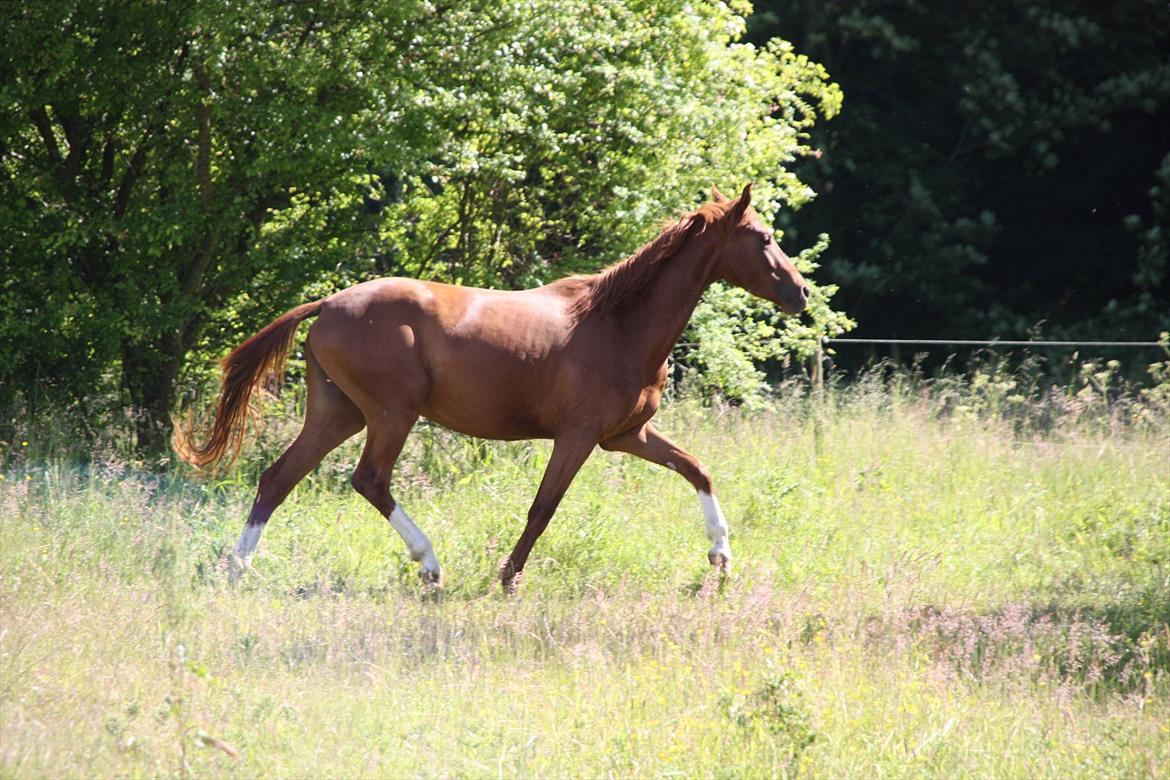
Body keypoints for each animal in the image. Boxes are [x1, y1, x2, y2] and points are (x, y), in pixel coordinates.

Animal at [173, 185, 809, 594]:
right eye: (763, 237)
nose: (801, 291)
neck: (619, 323)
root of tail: (328, 303)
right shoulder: (578, 437)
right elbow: (543, 507)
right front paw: (508, 577)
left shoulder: (628, 435)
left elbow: (698, 469)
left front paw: (720, 557)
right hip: (391, 414)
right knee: (369, 481)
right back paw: (429, 566)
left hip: (338, 415)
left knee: (277, 479)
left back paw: (240, 570)